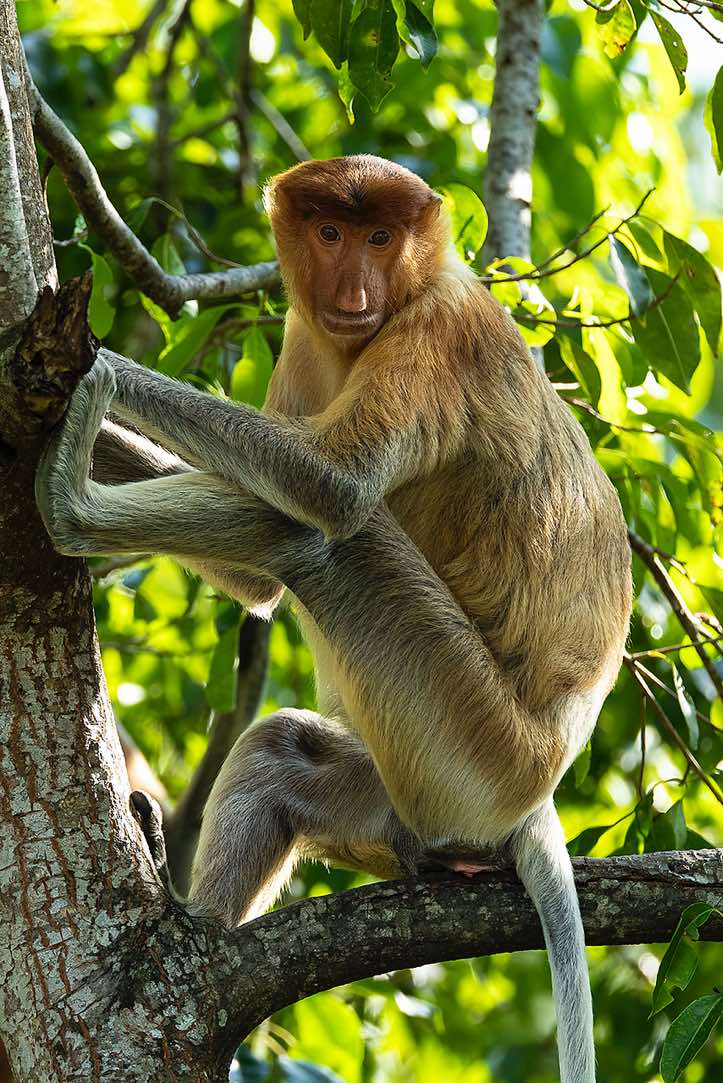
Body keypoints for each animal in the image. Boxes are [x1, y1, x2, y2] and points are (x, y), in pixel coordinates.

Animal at [35, 155, 632, 1083]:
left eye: (381, 237)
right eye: (329, 232)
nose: (354, 289)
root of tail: (535, 796)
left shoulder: (437, 333)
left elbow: (333, 486)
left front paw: (93, 367)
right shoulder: (299, 338)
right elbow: (253, 584)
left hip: (470, 744)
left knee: (324, 541)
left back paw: (68, 505)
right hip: (403, 793)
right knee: (281, 748)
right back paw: (195, 930)